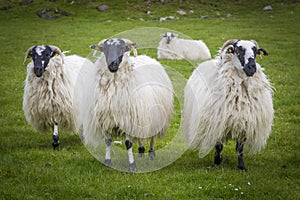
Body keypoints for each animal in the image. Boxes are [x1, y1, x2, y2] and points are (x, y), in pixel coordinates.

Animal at [81, 38, 175, 172]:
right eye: (105, 49)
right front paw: (107, 162)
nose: (112, 65)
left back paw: (151, 153)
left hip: (155, 115)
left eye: (122, 48)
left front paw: (132, 166)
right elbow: (108, 141)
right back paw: (141, 151)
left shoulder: (128, 120)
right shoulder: (107, 120)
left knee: (152, 136)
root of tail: (147, 57)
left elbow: (128, 144)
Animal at [183, 39, 274, 170]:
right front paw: (217, 161)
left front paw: (241, 166)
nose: (252, 67)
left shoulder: (244, 123)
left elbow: (240, 148)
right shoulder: (217, 123)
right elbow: (218, 145)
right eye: (238, 50)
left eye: (255, 51)